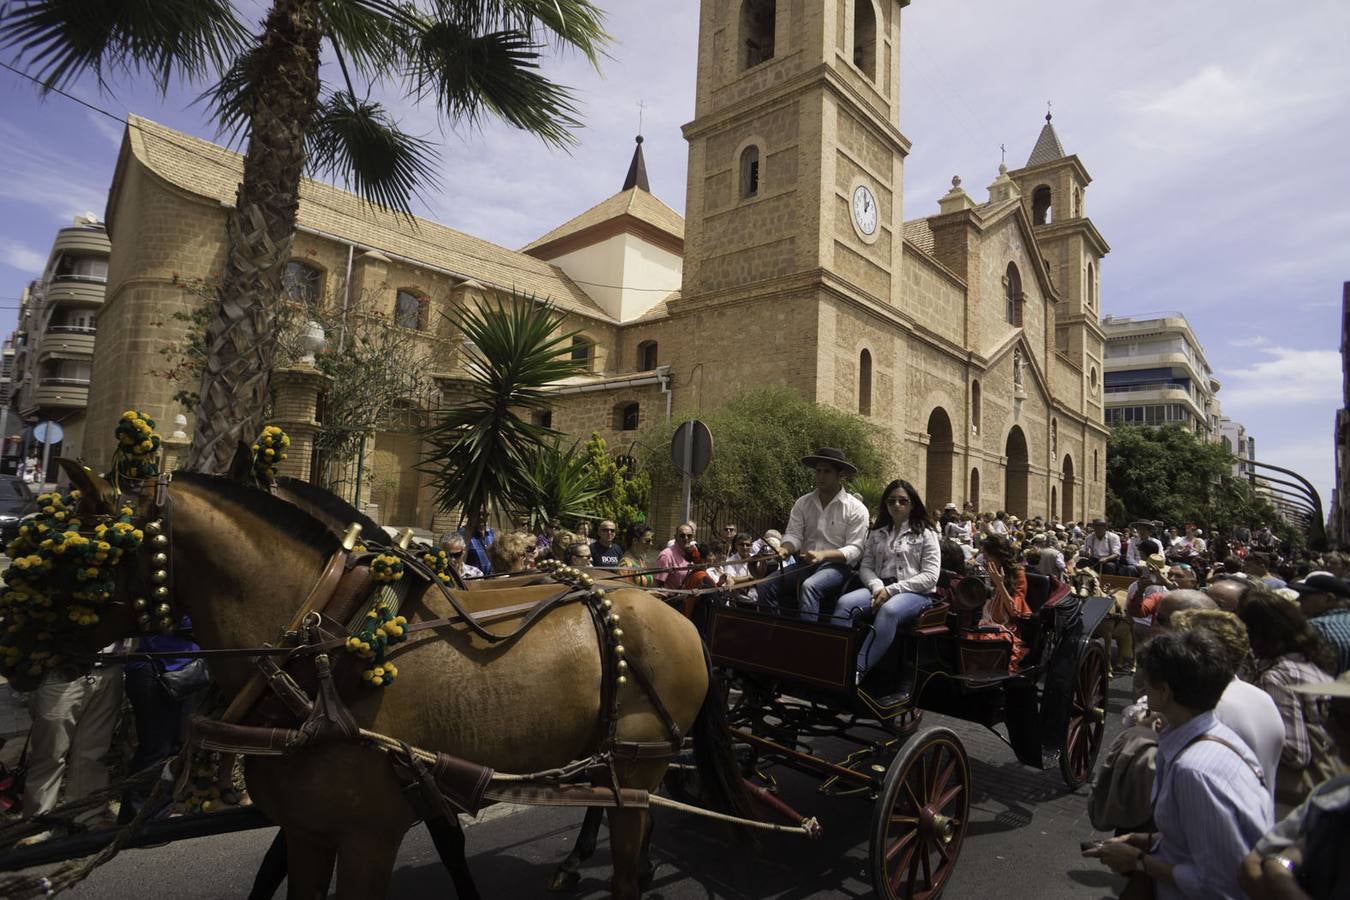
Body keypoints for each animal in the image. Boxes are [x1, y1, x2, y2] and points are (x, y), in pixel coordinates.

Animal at [58, 464, 745, 900]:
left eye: (76, 553)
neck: (336, 638)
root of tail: (673, 613)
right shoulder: (364, 805)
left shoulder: (372, 823)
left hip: (635, 756)